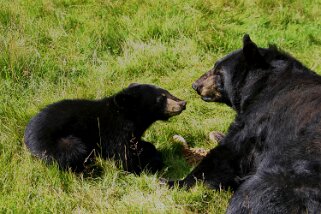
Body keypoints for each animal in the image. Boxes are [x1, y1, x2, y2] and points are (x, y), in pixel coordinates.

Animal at [24, 83, 185, 174]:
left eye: (167, 92)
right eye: (161, 98)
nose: (183, 103)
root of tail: (26, 141)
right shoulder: (114, 132)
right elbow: (124, 157)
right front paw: (149, 166)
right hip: (56, 144)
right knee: (72, 152)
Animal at [169, 34, 318, 212]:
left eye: (218, 71)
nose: (195, 85)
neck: (261, 84)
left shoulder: (256, 119)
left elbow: (228, 154)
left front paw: (174, 182)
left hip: (283, 178)